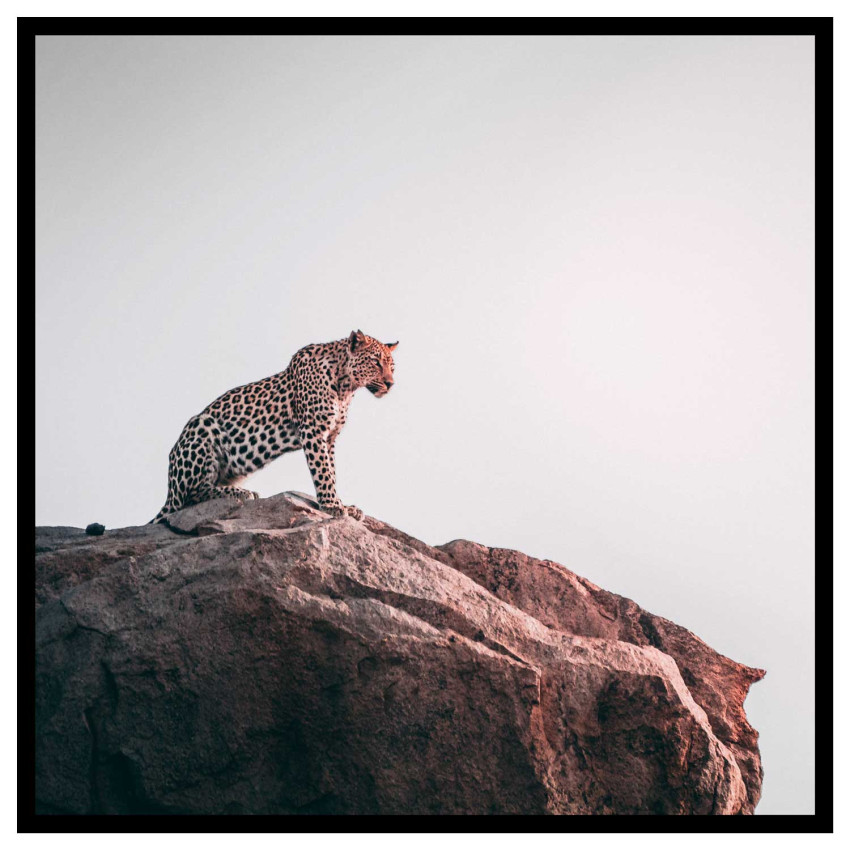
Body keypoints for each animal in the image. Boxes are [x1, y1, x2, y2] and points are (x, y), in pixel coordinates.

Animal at [150, 330, 397, 524]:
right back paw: (241, 493)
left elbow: (332, 471)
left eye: (392, 366)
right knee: (191, 496)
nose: (390, 384)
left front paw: (343, 504)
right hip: (202, 426)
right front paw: (332, 505)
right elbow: (323, 471)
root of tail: (169, 490)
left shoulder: (330, 438)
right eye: (376, 362)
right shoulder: (313, 431)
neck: (346, 387)